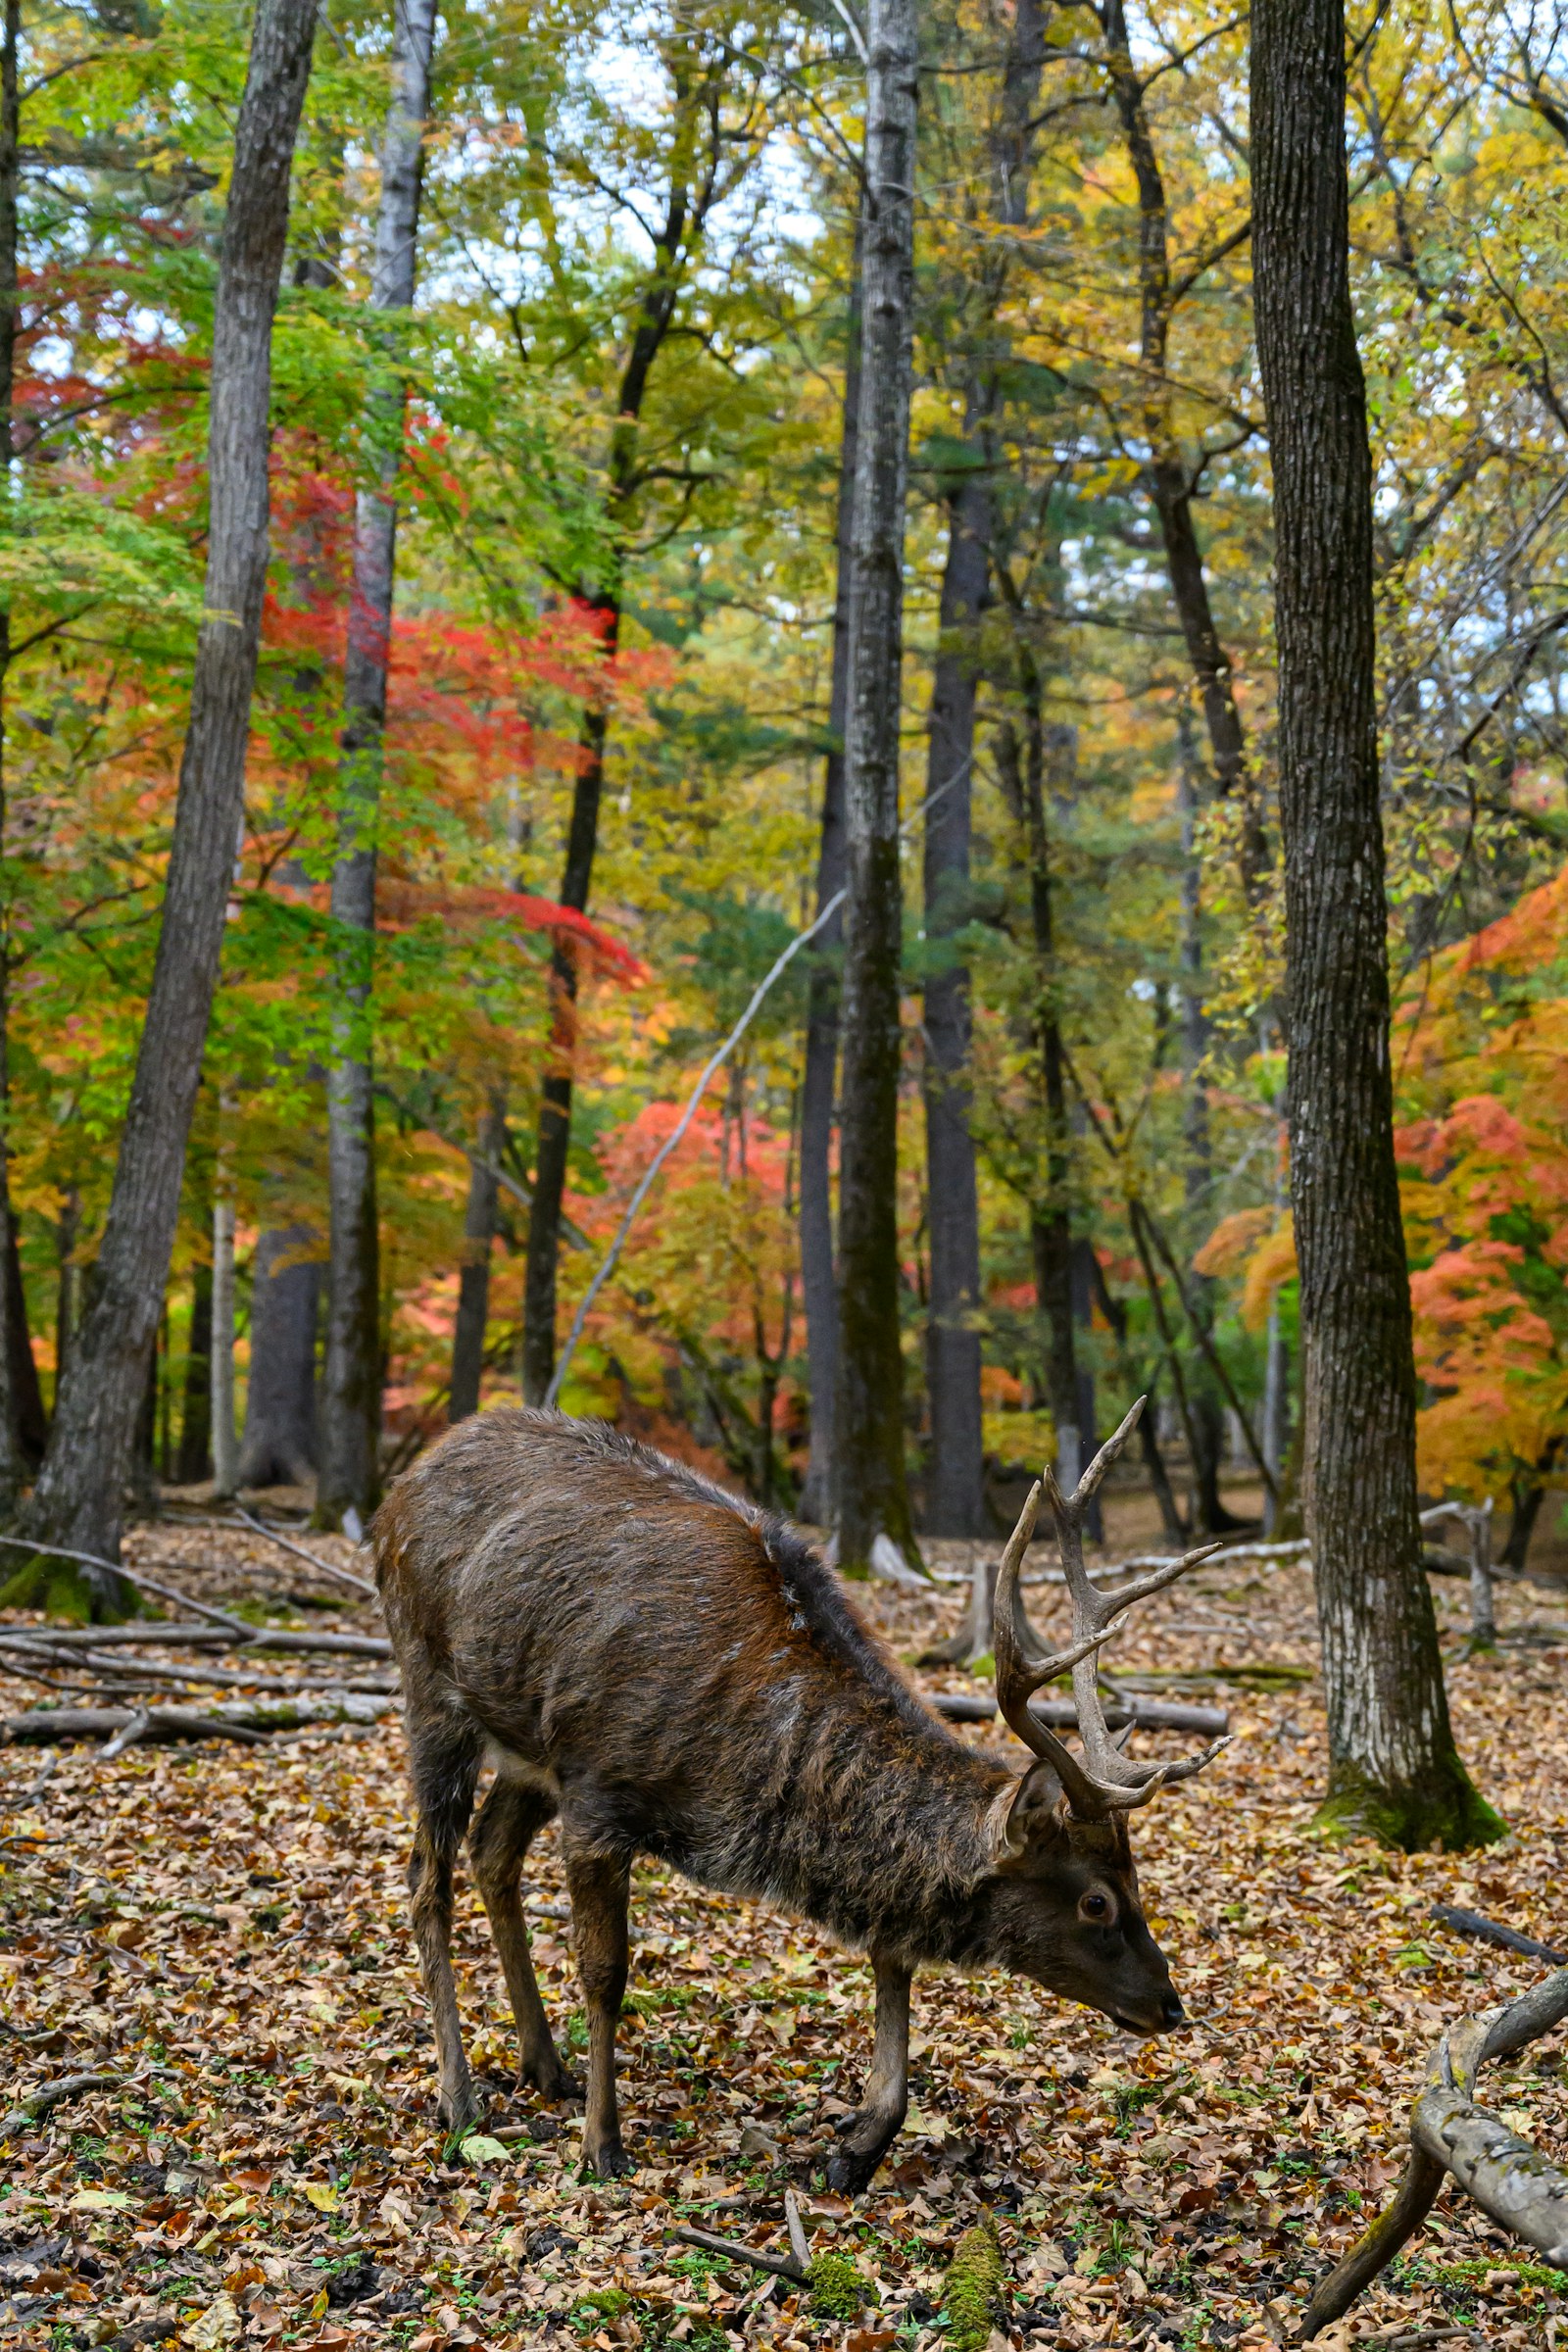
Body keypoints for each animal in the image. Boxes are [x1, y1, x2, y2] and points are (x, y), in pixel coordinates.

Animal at [373, 1396, 1227, 2189]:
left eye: (1135, 1879)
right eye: (1095, 1901)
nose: (1170, 2004)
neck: (741, 1784)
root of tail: (403, 1483)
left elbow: (893, 1959)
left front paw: (858, 2146)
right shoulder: (597, 1792)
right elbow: (606, 1971)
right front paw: (602, 2146)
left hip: (523, 1749)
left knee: (491, 1852)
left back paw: (544, 2066)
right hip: (429, 1684)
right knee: (426, 1877)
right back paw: (460, 2099)